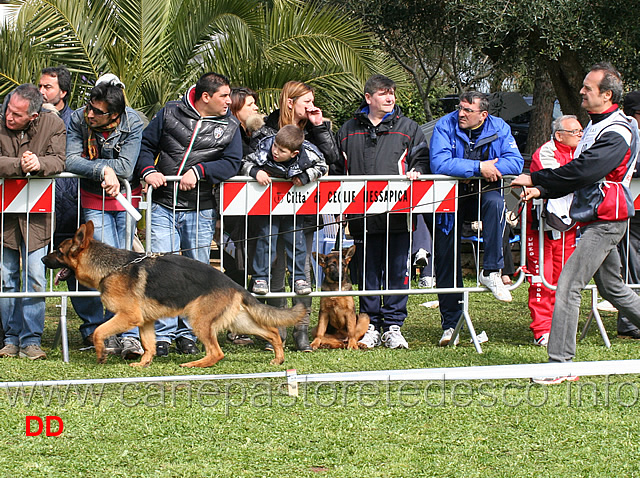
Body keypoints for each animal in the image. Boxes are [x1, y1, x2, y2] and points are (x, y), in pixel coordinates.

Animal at [43, 222, 306, 368]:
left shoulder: (128, 317)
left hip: (199, 321)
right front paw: (144, 364)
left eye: (58, 251)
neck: (111, 267)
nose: (44, 259)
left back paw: (193, 364)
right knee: (272, 332)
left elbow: (98, 331)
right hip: (237, 322)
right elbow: (148, 345)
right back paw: (278, 359)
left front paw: (100, 356)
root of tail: (234, 284)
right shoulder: (145, 321)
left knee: (216, 352)